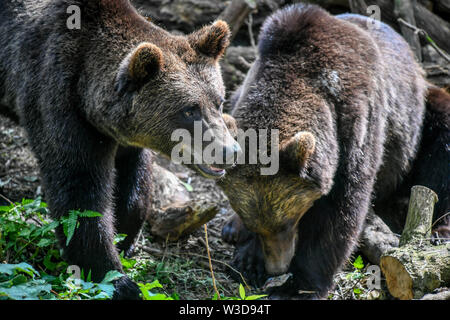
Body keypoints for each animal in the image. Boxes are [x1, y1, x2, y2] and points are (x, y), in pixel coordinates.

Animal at [0, 0, 241, 300]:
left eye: (219, 101)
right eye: (189, 110)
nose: (230, 151)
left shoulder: (126, 136)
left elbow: (133, 179)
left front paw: (125, 234)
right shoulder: (57, 100)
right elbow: (80, 195)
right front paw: (116, 279)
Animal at [216, 4, 448, 300]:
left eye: (289, 220)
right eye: (258, 225)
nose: (278, 266)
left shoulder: (356, 124)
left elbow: (341, 209)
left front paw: (299, 286)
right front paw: (248, 257)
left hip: (419, 117)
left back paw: (440, 230)